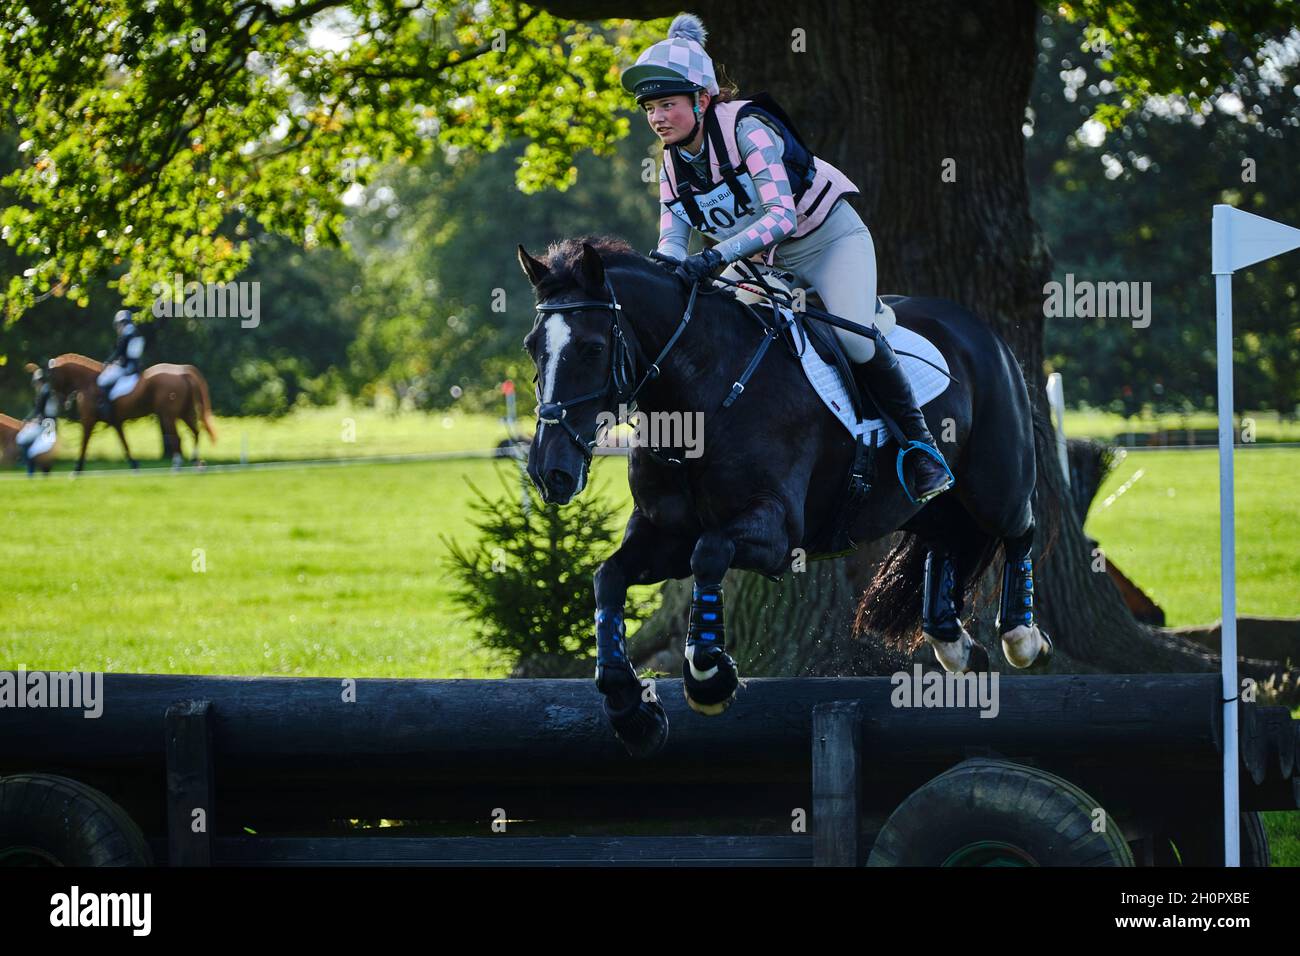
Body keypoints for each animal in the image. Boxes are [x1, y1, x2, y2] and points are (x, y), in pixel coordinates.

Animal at [31, 356, 219, 470]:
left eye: (51, 378)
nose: (60, 403)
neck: (89, 382)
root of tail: (181, 371)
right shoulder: (116, 422)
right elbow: (125, 444)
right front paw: (135, 465)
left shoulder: (88, 420)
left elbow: (84, 443)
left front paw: (77, 470)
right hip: (182, 413)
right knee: (195, 432)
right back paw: (197, 462)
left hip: (168, 416)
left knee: (178, 438)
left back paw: (178, 464)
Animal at [514, 238, 1045, 754]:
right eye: (532, 347)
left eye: (591, 347)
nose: (548, 472)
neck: (698, 398)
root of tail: (981, 332)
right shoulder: (664, 534)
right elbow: (609, 576)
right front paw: (630, 709)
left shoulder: (776, 531)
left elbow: (710, 553)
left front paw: (708, 674)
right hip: (920, 506)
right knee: (945, 539)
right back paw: (954, 643)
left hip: (994, 485)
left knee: (1020, 526)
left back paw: (1021, 637)